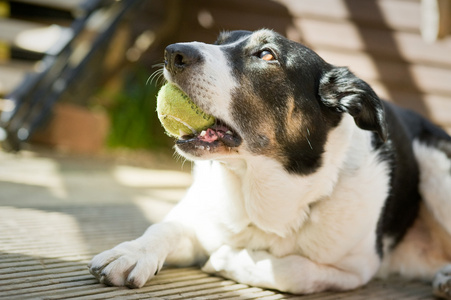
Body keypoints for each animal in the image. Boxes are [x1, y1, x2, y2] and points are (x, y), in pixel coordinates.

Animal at [89, 28, 451, 298]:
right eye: (219, 41)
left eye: (266, 55)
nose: (172, 52)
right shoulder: (198, 218)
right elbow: (164, 226)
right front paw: (132, 252)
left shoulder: (356, 269)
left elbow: (294, 273)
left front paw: (225, 259)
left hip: (436, 166)